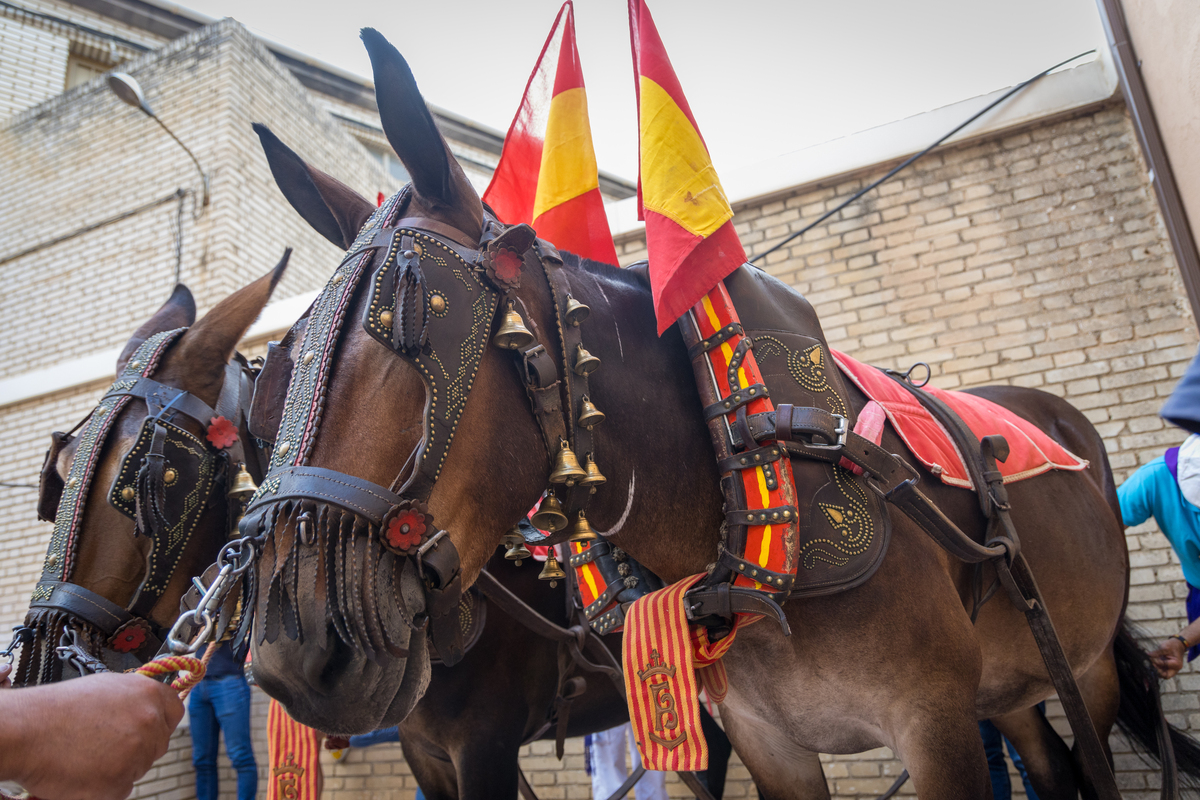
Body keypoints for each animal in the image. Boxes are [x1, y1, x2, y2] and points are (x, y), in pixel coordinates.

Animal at [241, 26, 1190, 800]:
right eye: (272, 383)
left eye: (413, 320)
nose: (292, 651)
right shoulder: (768, 740)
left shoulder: (937, 725)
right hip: (1012, 690)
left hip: (1084, 666)